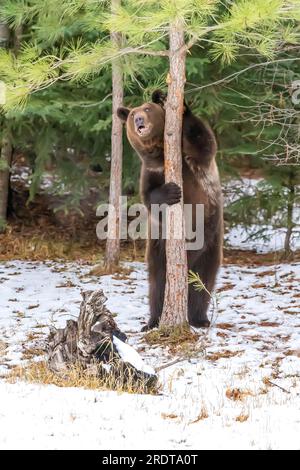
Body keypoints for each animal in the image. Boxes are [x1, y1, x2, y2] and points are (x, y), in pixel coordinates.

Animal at [117, 89, 223, 330]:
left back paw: (199, 318)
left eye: (147, 108)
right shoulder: (151, 170)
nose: (139, 120)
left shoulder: (194, 159)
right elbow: (149, 197)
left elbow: (205, 140)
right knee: (158, 284)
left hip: (210, 240)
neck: (160, 153)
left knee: (203, 280)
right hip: (159, 248)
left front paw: (173, 102)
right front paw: (171, 191)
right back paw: (153, 321)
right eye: (132, 114)